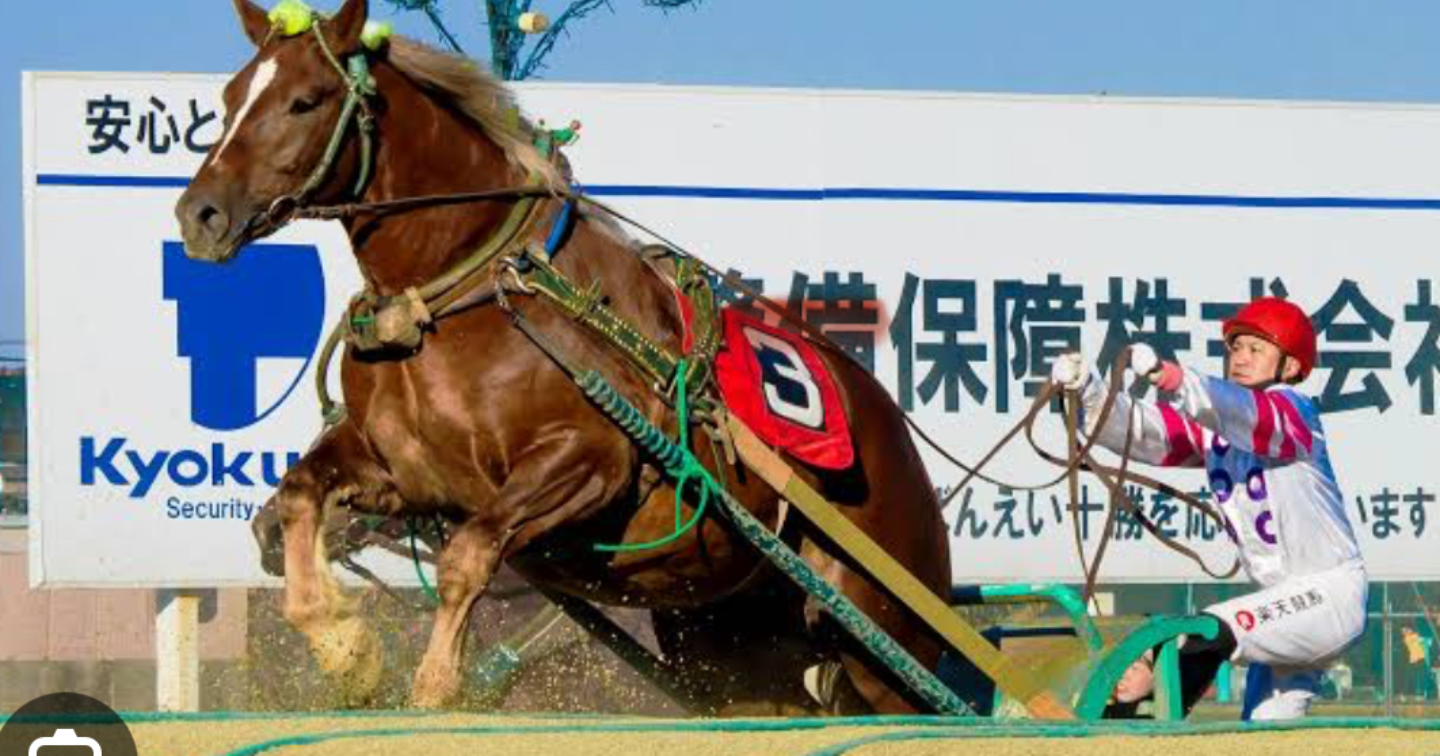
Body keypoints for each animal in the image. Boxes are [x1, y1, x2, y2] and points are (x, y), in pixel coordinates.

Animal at [176, 0, 952, 714]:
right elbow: (302, 494)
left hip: (886, 639)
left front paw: (434, 687)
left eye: (305, 99)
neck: (456, 300)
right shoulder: (398, 470)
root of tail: (892, 429)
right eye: (231, 97)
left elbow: (468, 555)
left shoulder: (589, 461)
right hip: (733, 642)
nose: (199, 214)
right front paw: (349, 652)